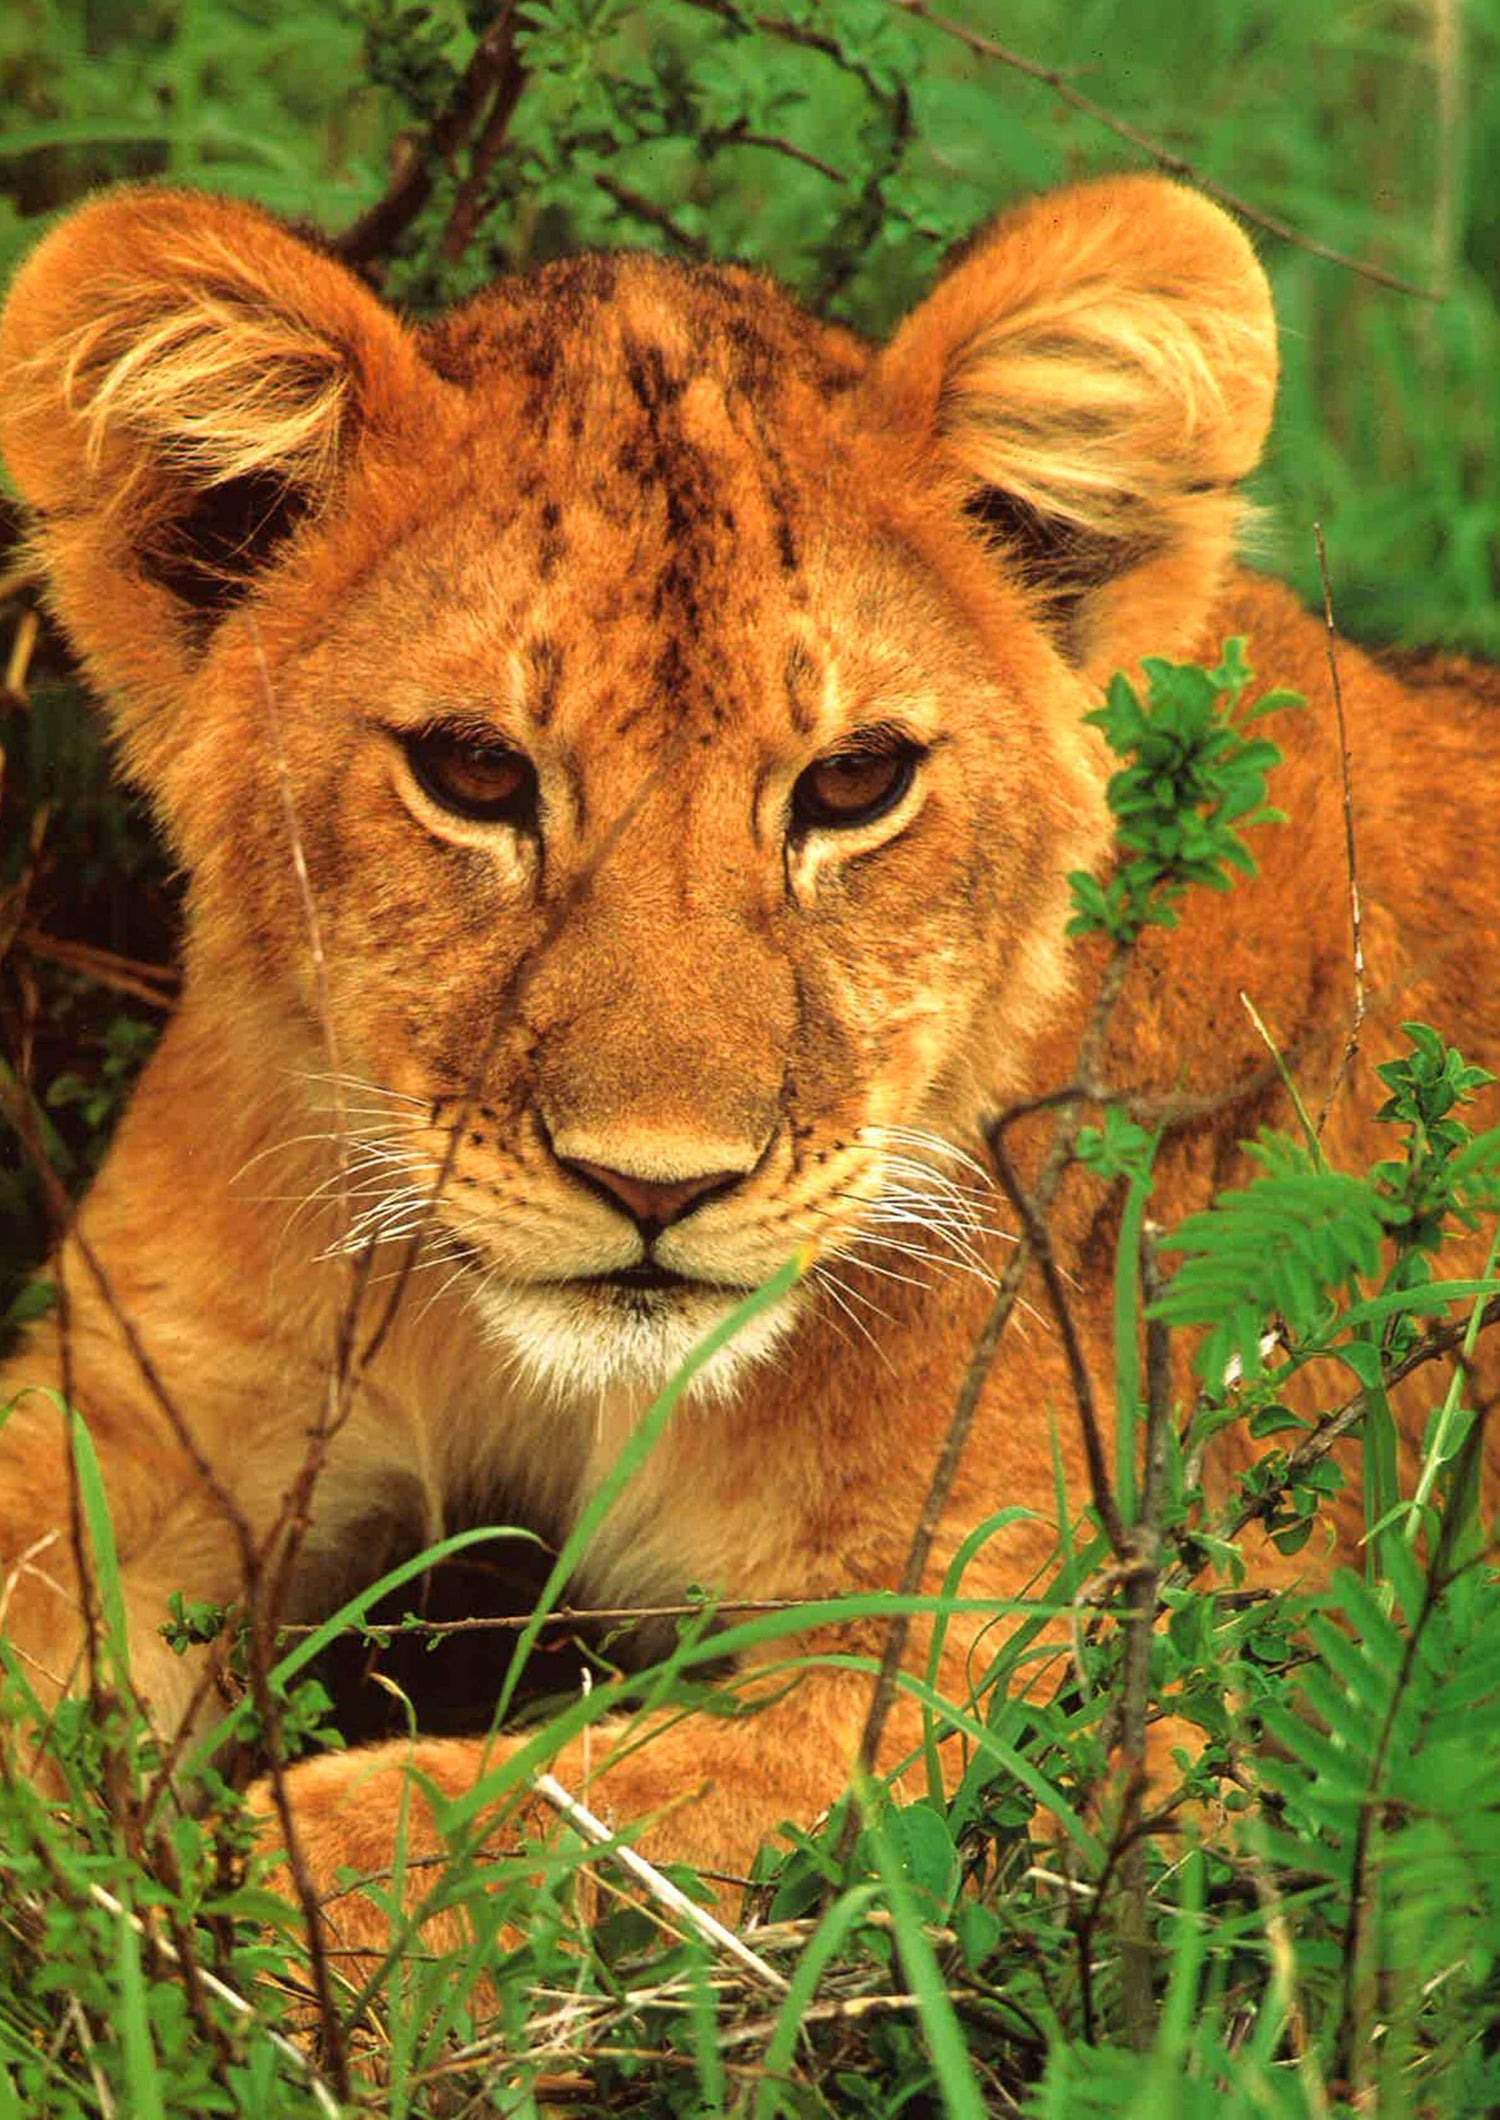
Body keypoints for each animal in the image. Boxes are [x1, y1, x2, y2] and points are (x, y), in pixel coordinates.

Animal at [0, 173, 1496, 1950]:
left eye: (854, 782)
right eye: (474, 772)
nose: (657, 1188)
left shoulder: (1045, 1679)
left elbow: (505, 1821)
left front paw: (173, 1906)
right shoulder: (144, 1406)